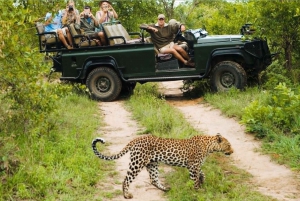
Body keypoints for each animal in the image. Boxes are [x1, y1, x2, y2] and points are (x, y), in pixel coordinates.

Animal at [91, 134, 232, 199]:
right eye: (229, 145)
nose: (232, 151)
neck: (209, 147)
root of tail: (135, 140)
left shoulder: (195, 166)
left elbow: (202, 174)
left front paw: (202, 181)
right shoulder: (193, 166)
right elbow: (195, 179)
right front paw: (197, 191)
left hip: (152, 164)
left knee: (153, 179)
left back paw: (166, 189)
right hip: (137, 163)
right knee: (126, 179)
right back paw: (126, 195)